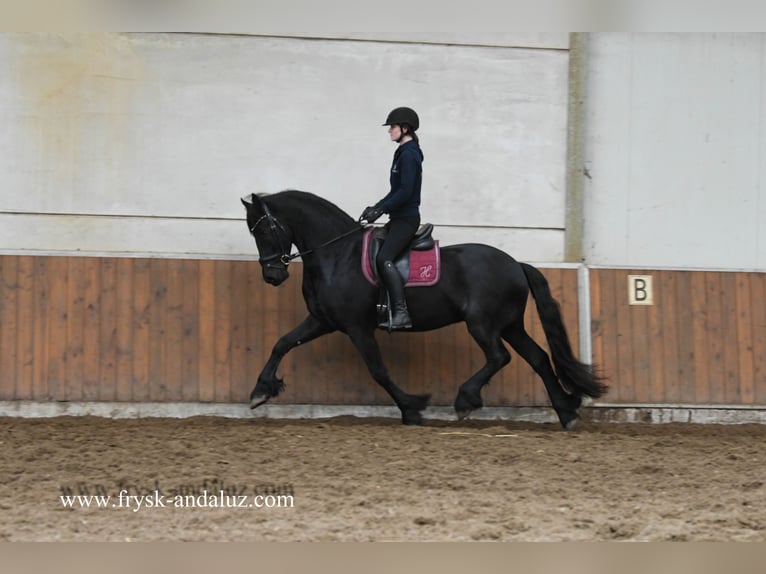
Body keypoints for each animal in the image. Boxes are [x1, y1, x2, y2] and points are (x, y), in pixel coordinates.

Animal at [241, 190, 607, 429]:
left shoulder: (357, 327)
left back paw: (466, 400)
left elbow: (378, 371)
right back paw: (566, 413)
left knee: (499, 357)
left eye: (265, 228)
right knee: (538, 359)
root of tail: (516, 264)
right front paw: (260, 391)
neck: (337, 255)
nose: (273, 275)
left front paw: (412, 408)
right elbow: (282, 343)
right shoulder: (323, 320)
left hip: (482, 323)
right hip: (511, 325)